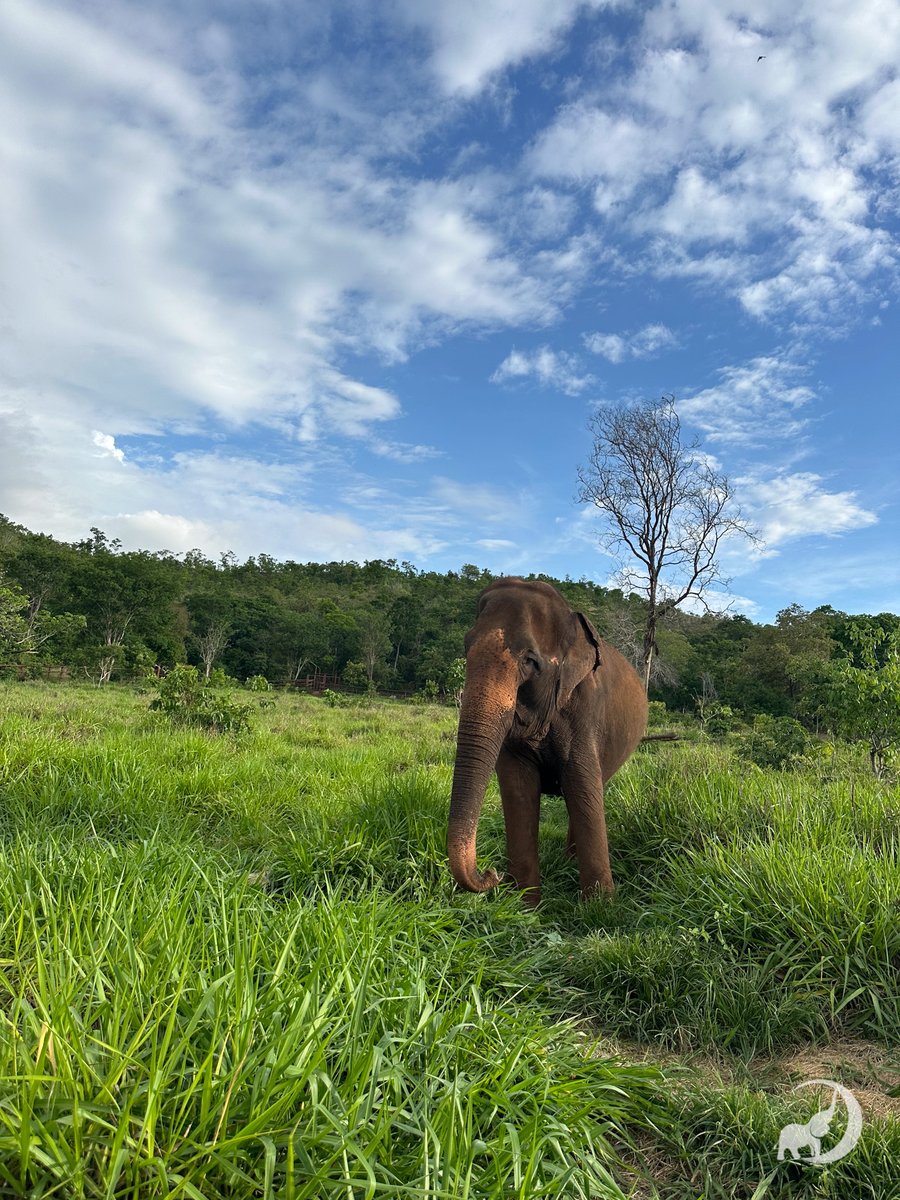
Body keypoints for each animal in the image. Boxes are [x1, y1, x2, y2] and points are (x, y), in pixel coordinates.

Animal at [447, 577, 648, 904]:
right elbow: (518, 789)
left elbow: (581, 783)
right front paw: (525, 906)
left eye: (530, 661)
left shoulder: (585, 709)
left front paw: (600, 907)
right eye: (466, 648)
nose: (492, 874)